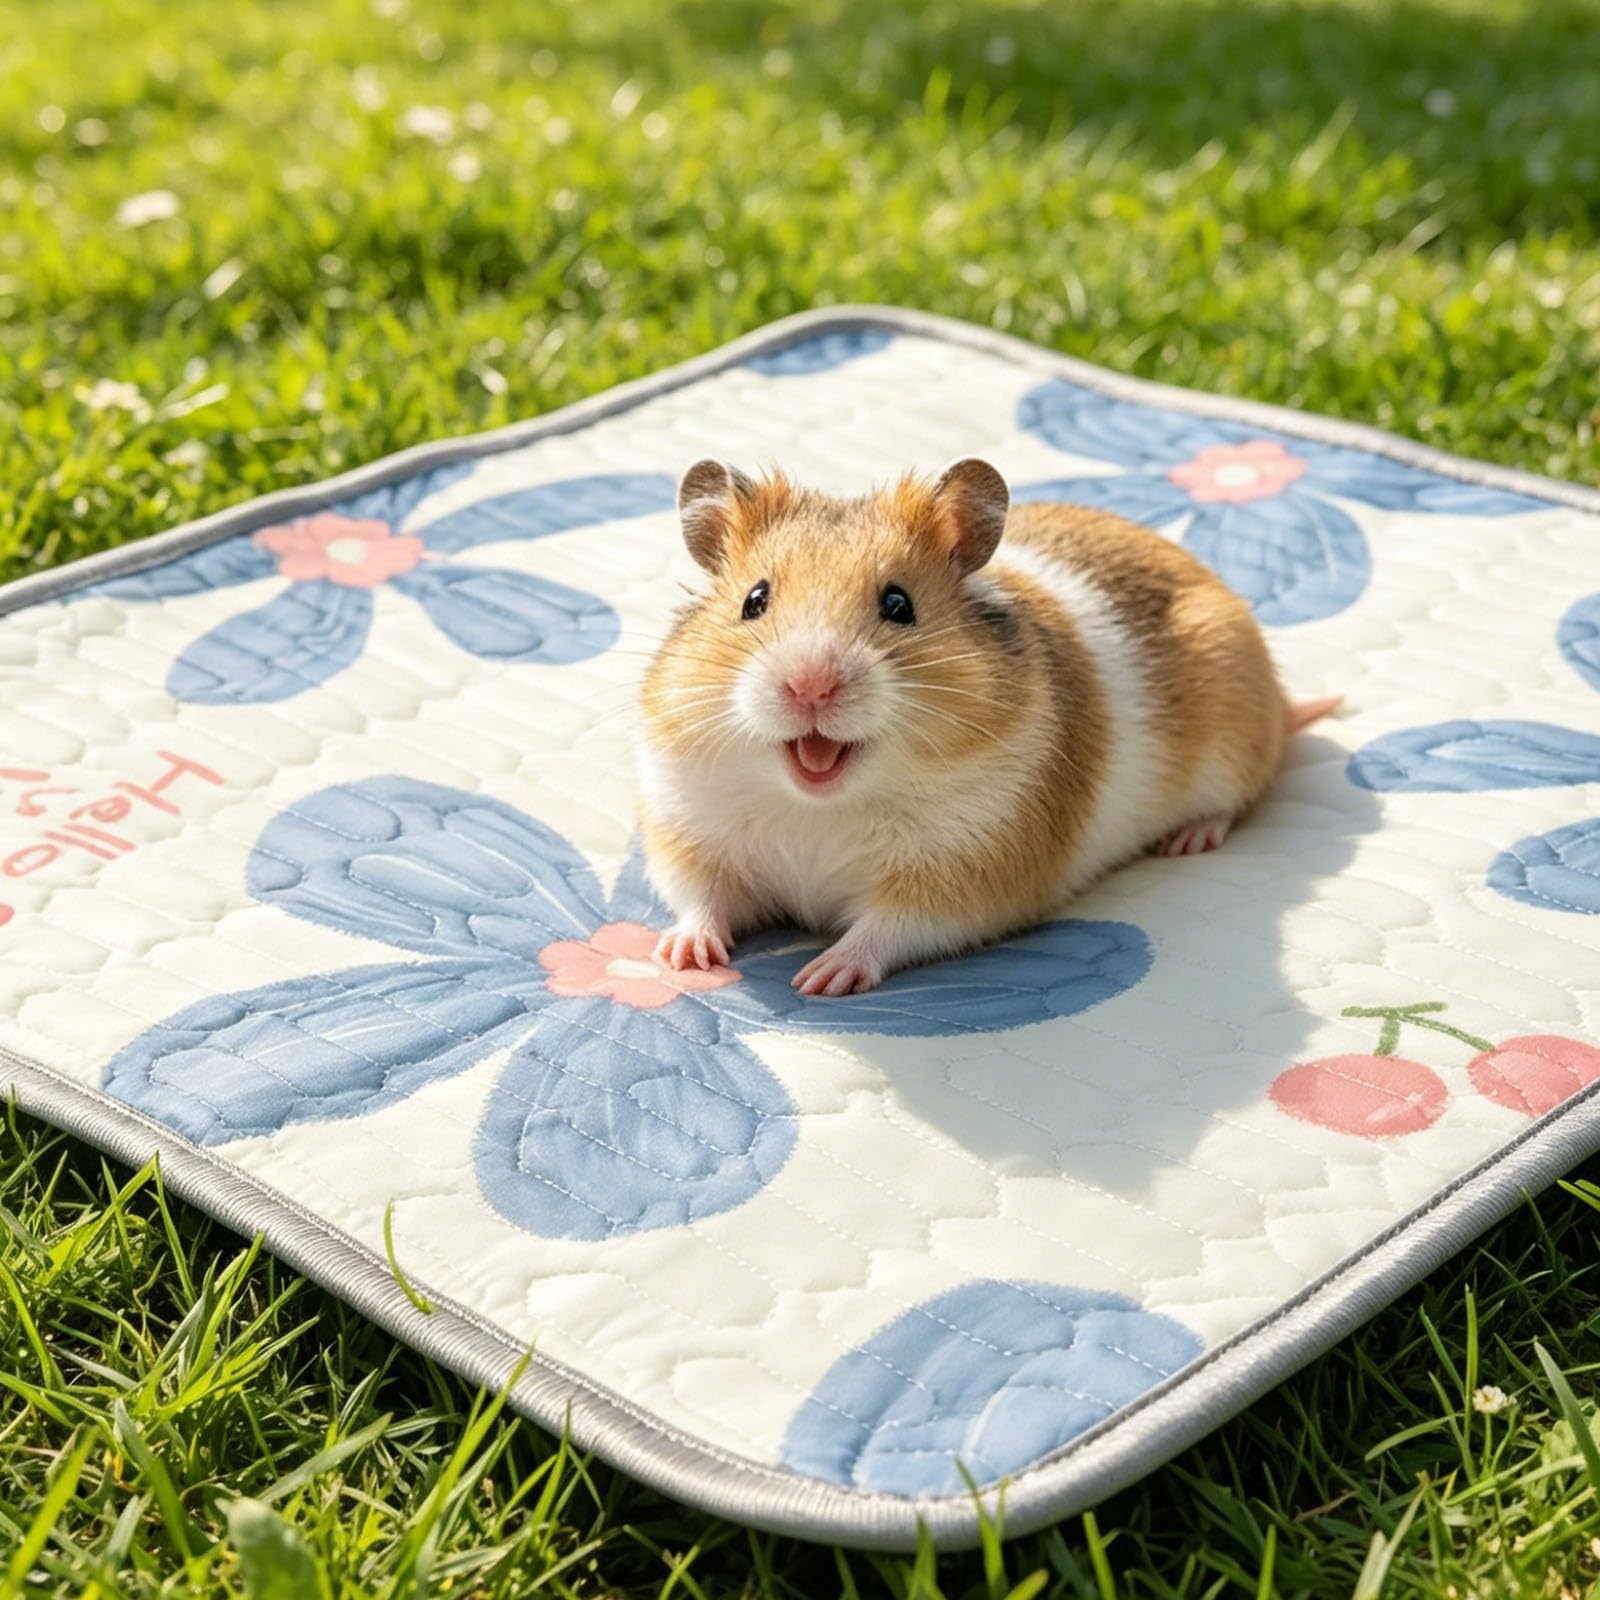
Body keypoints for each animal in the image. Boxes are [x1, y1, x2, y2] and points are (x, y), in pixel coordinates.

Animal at [637, 457, 1339, 996]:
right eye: (754, 601)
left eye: (899, 605)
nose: (810, 685)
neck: (818, 806)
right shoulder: (691, 833)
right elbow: (703, 899)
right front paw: (680, 957)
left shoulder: (965, 878)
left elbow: (885, 930)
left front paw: (819, 978)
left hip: (1233, 738)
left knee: (1234, 800)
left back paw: (1189, 840)